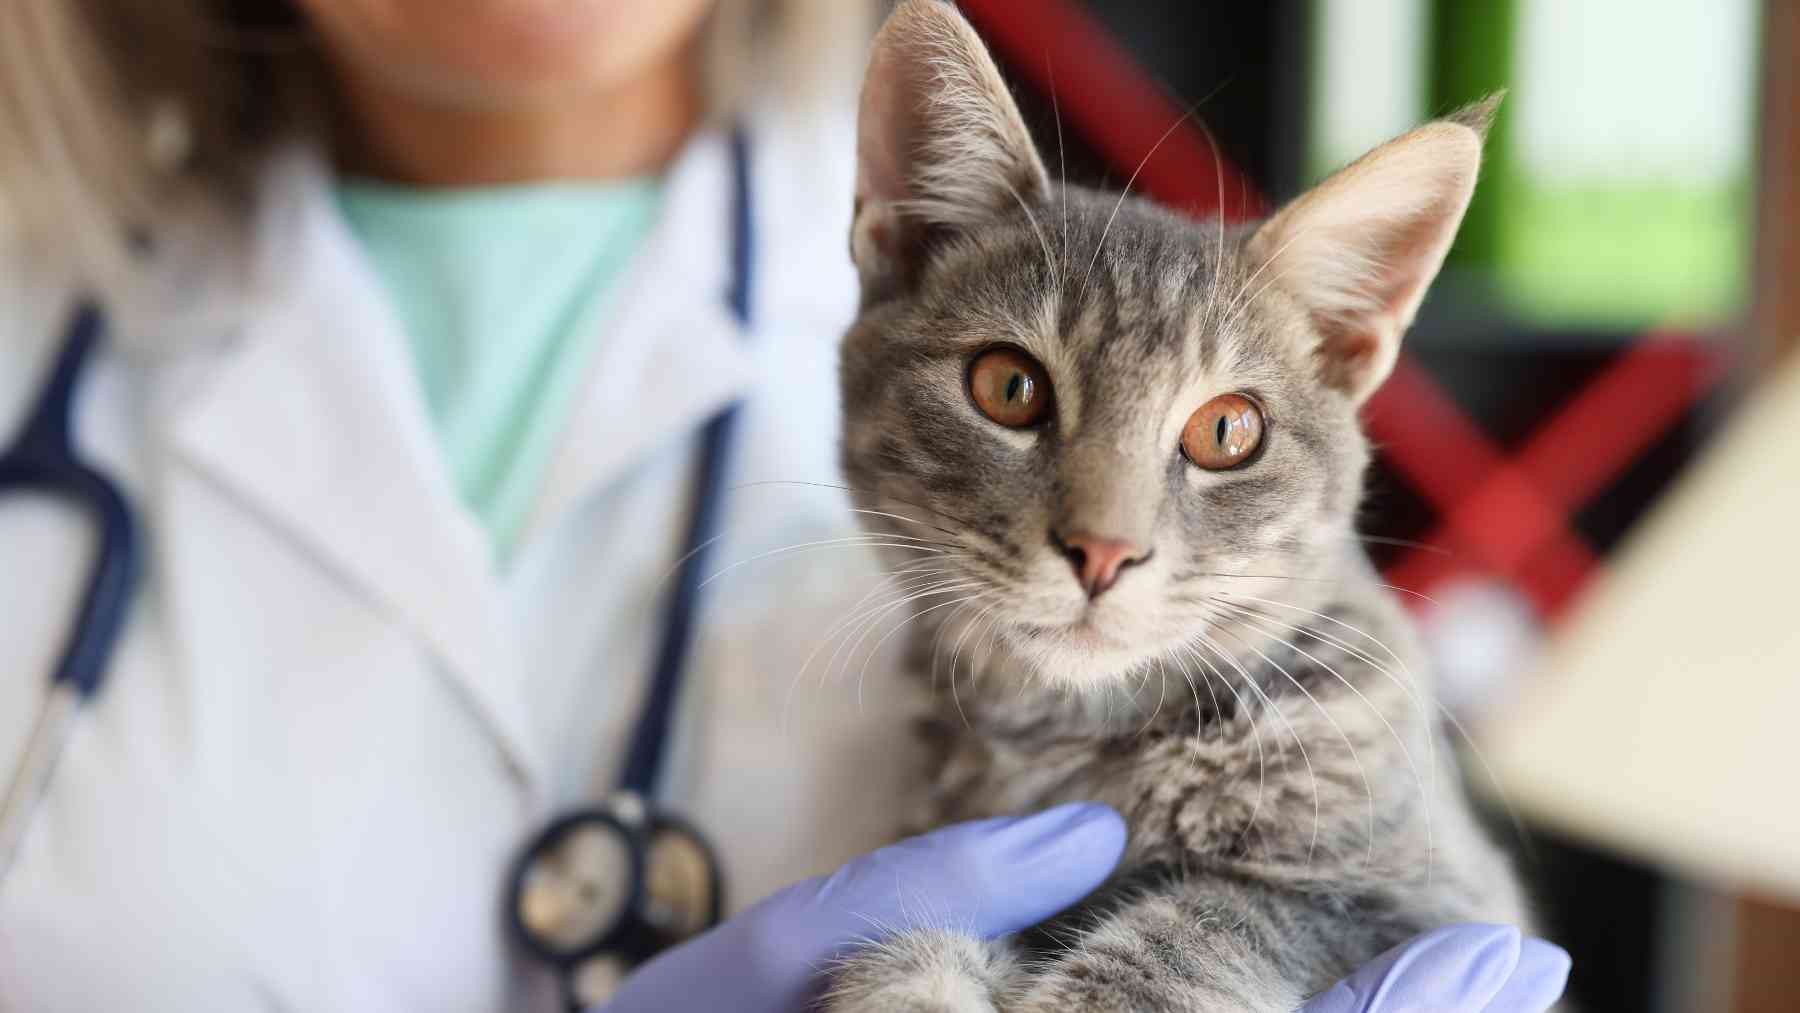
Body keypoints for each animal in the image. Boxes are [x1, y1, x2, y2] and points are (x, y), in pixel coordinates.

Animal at [824, 1, 1540, 1013]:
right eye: (1007, 386)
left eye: (1226, 431)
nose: (1102, 549)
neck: (1081, 742)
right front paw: (912, 979)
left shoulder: (1437, 899)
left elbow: (1211, 921)